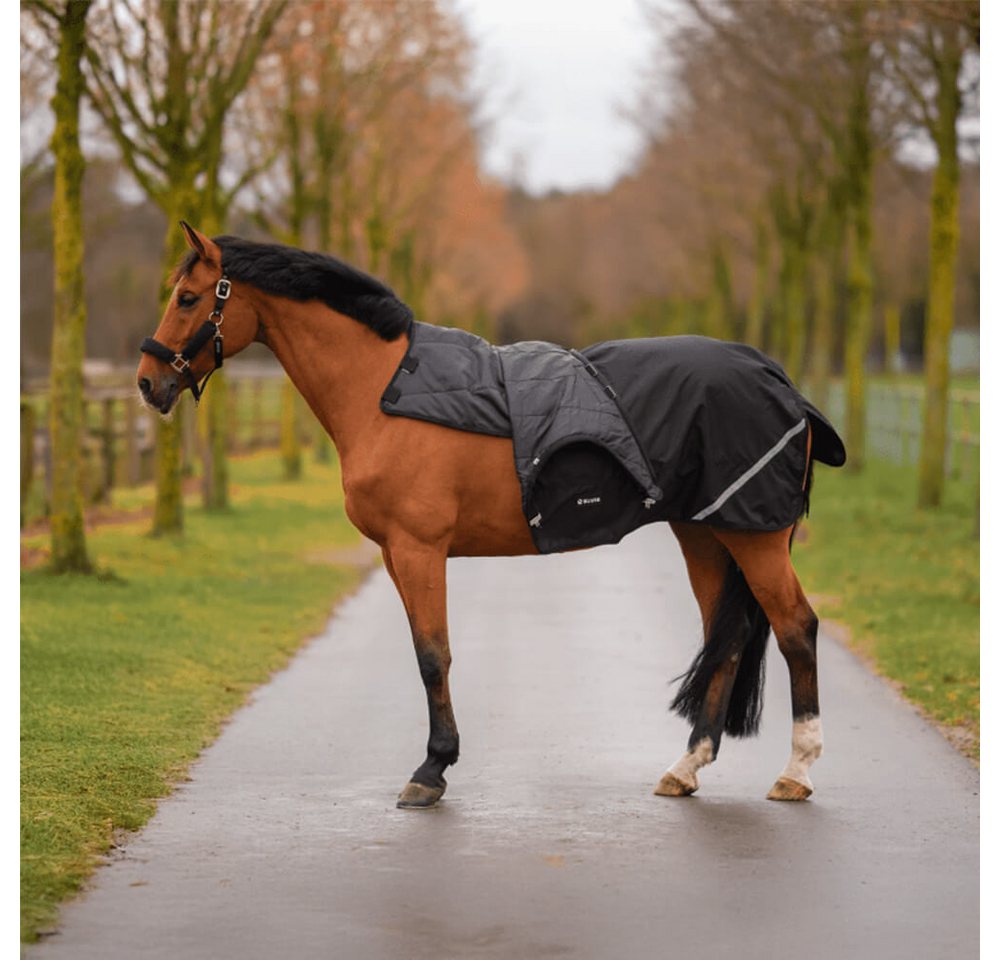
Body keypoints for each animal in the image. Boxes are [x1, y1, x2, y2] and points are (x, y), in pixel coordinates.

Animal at [137, 222, 841, 809]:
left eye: (189, 299)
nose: (147, 382)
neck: (384, 388)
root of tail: (778, 379)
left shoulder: (418, 547)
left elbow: (433, 655)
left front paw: (431, 770)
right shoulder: (395, 554)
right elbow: (426, 651)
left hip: (754, 535)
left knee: (795, 628)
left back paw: (797, 772)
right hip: (704, 532)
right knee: (728, 639)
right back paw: (686, 767)